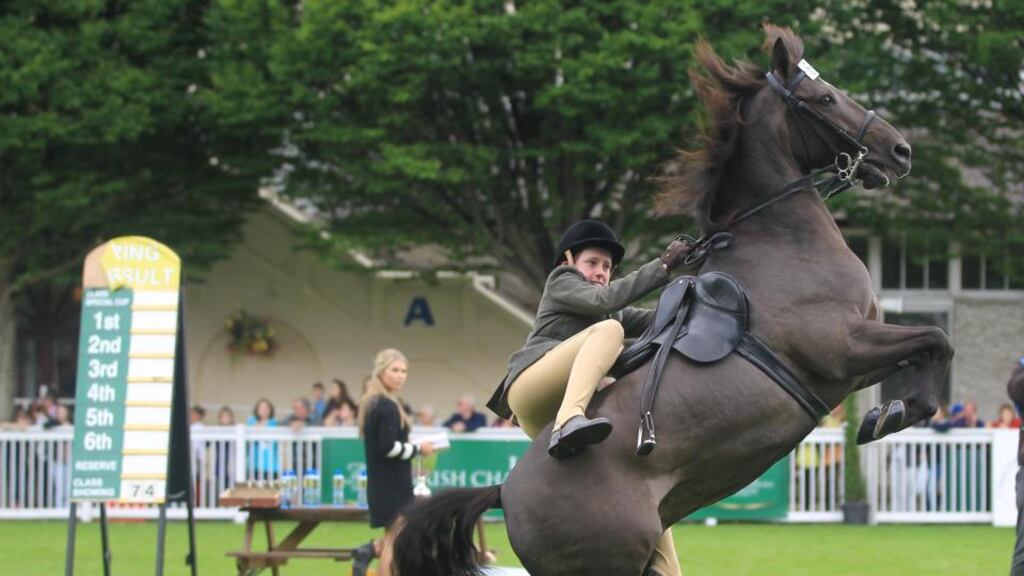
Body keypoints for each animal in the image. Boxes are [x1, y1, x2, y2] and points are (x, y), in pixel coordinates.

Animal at [391, 24, 953, 576]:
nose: (900, 150)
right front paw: (897, 413)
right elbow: (937, 339)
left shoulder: (854, 367)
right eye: (826, 98)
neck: (781, 243)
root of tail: (503, 494)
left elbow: (928, 346)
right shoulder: (843, 348)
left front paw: (889, 410)